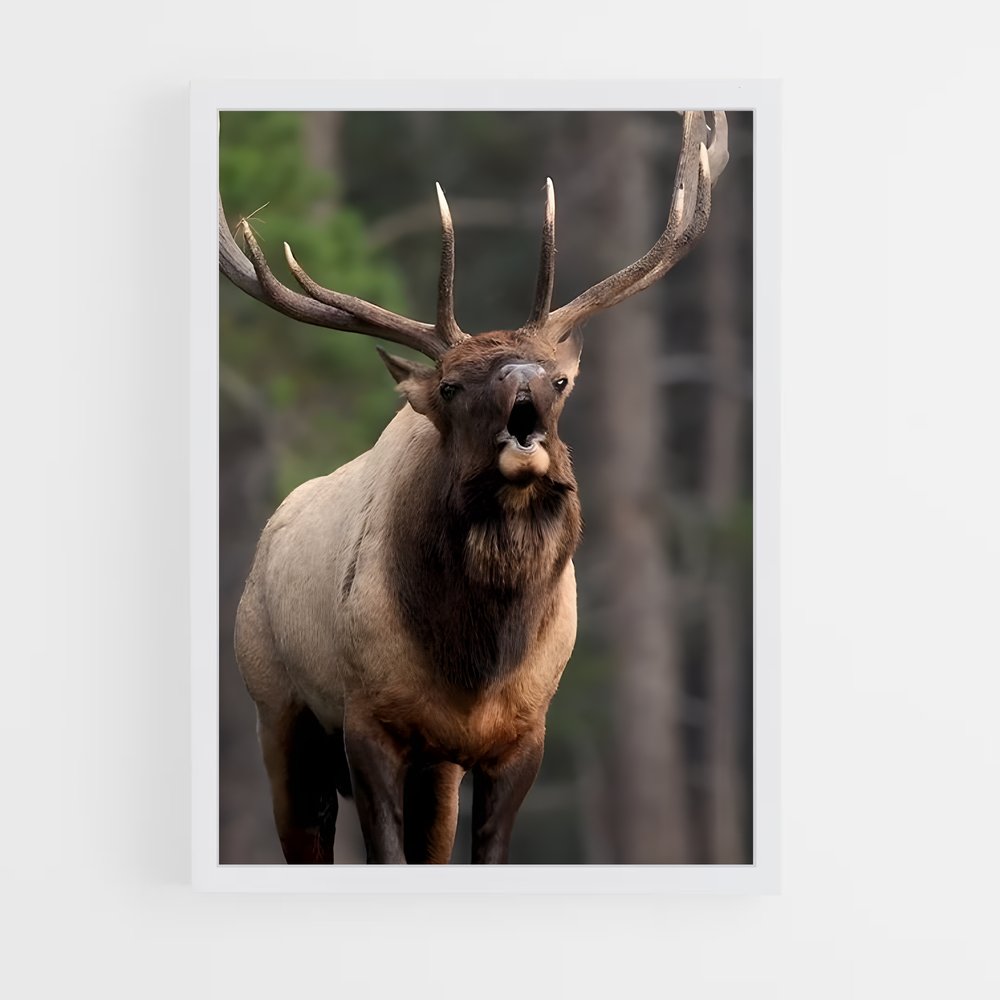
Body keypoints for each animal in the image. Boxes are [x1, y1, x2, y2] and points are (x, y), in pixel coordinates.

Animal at [219, 111, 729, 864]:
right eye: (453, 386)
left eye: (559, 380)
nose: (524, 386)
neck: (474, 665)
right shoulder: (367, 719)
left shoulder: (520, 736)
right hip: (277, 711)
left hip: (433, 770)